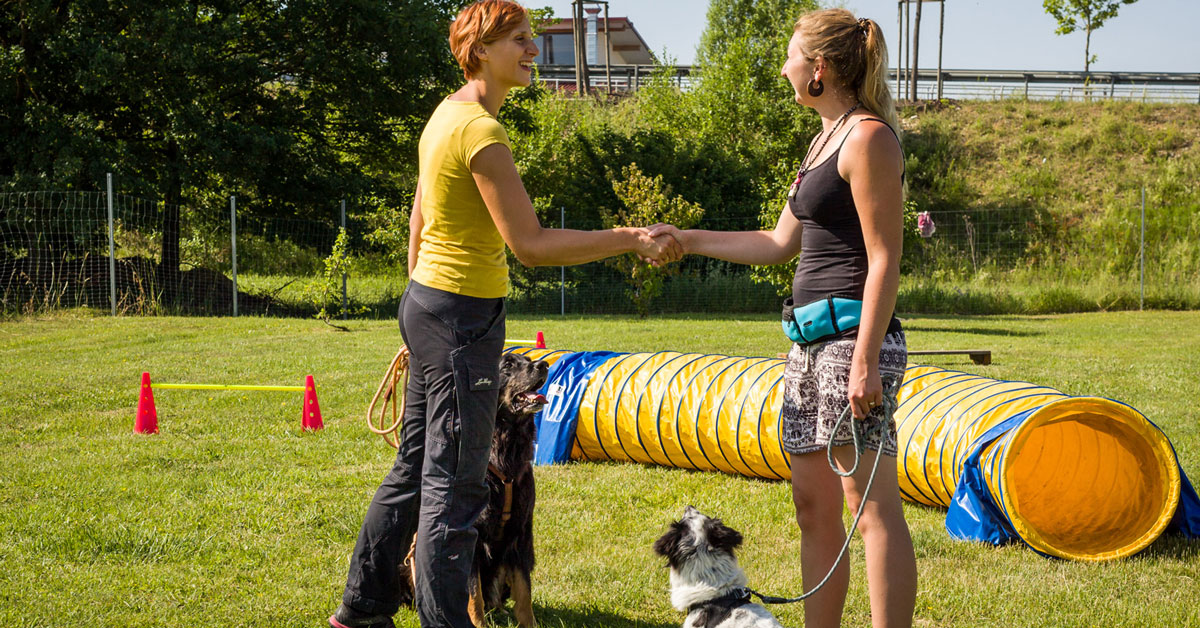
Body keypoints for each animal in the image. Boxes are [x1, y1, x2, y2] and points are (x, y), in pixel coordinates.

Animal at [403, 353, 552, 628]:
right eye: (507, 365)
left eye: (528, 359)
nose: (543, 365)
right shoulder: (470, 534)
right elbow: (474, 595)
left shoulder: (521, 533)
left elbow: (524, 593)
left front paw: (528, 623)